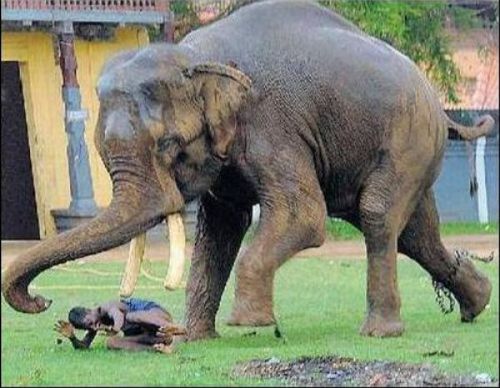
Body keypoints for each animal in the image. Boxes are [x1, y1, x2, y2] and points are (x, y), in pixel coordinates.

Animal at [1, 0, 494, 340]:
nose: (44, 300)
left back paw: (380, 332)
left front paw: (248, 324)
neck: (195, 55)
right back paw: (477, 304)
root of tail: (440, 106)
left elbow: (302, 216)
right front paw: (195, 338)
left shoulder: (272, 125)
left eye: (169, 146)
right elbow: (221, 229)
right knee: (415, 235)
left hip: (407, 138)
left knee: (377, 216)